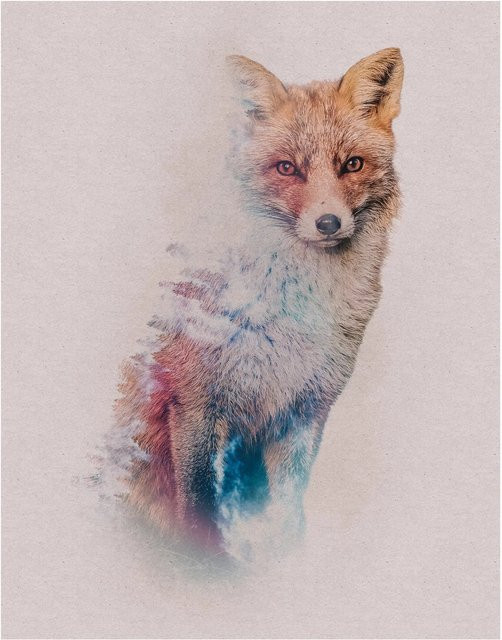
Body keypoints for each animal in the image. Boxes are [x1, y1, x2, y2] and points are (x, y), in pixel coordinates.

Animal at [104, 48, 404, 562]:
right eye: (287, 168)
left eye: (352, 164)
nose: (328, 222)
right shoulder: (195, 405)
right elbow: (200, 513)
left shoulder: (303, 411)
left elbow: (287, 517)